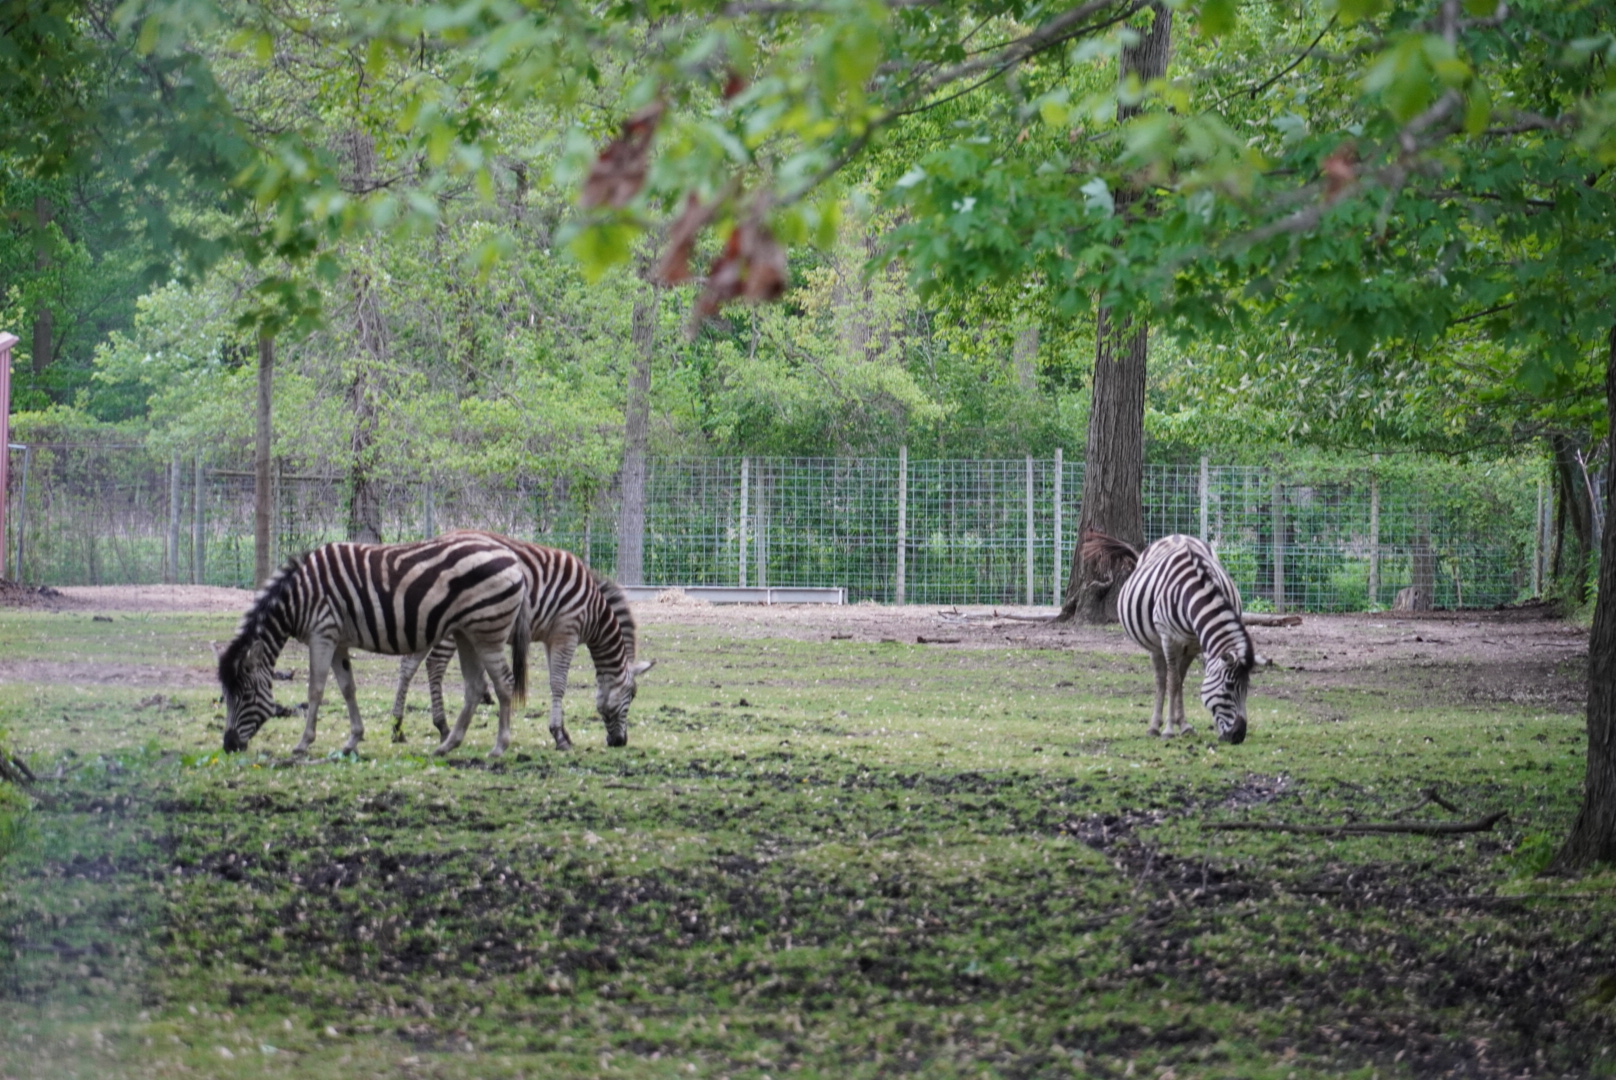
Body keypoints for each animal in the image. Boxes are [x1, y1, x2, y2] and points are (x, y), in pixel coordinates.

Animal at [218, 534, 532, 757]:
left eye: (246, 694)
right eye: (226, 695)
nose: (229, 746)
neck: (297, 597)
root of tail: (513, 558)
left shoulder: (322, 633)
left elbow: (316, 689)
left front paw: (303, 743)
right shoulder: (337, 640)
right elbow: (347, 688)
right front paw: (352, 740)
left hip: (488, 632)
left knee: (504, 683)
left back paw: (499, 746)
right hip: (466, 633)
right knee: (475, 686)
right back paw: (448, 744)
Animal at [390, 532, 654, 751]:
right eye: (632, 695)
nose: (620, 742)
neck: (595, 612)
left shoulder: (552, 638)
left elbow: (554, 682)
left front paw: (564, 733)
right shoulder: (566, 633)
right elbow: (559, 684)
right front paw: (559, 737)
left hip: (427, 619)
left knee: (408, 664)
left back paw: (397, 728)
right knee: (434, 664)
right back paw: (442, 727)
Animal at [1080, 530, 1253, 744]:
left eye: (1247, 688)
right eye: (1228, 687)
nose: (1239, 735)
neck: (1192, 593)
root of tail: (1176, 535)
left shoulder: (1195, 644)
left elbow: (1180, 681)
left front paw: (1184, 725)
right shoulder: (1169, 639)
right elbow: (1172, 682)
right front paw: (1169, 729)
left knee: (1177, 676)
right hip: (1154, 643)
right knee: (1161, 678)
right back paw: (1154, 726)